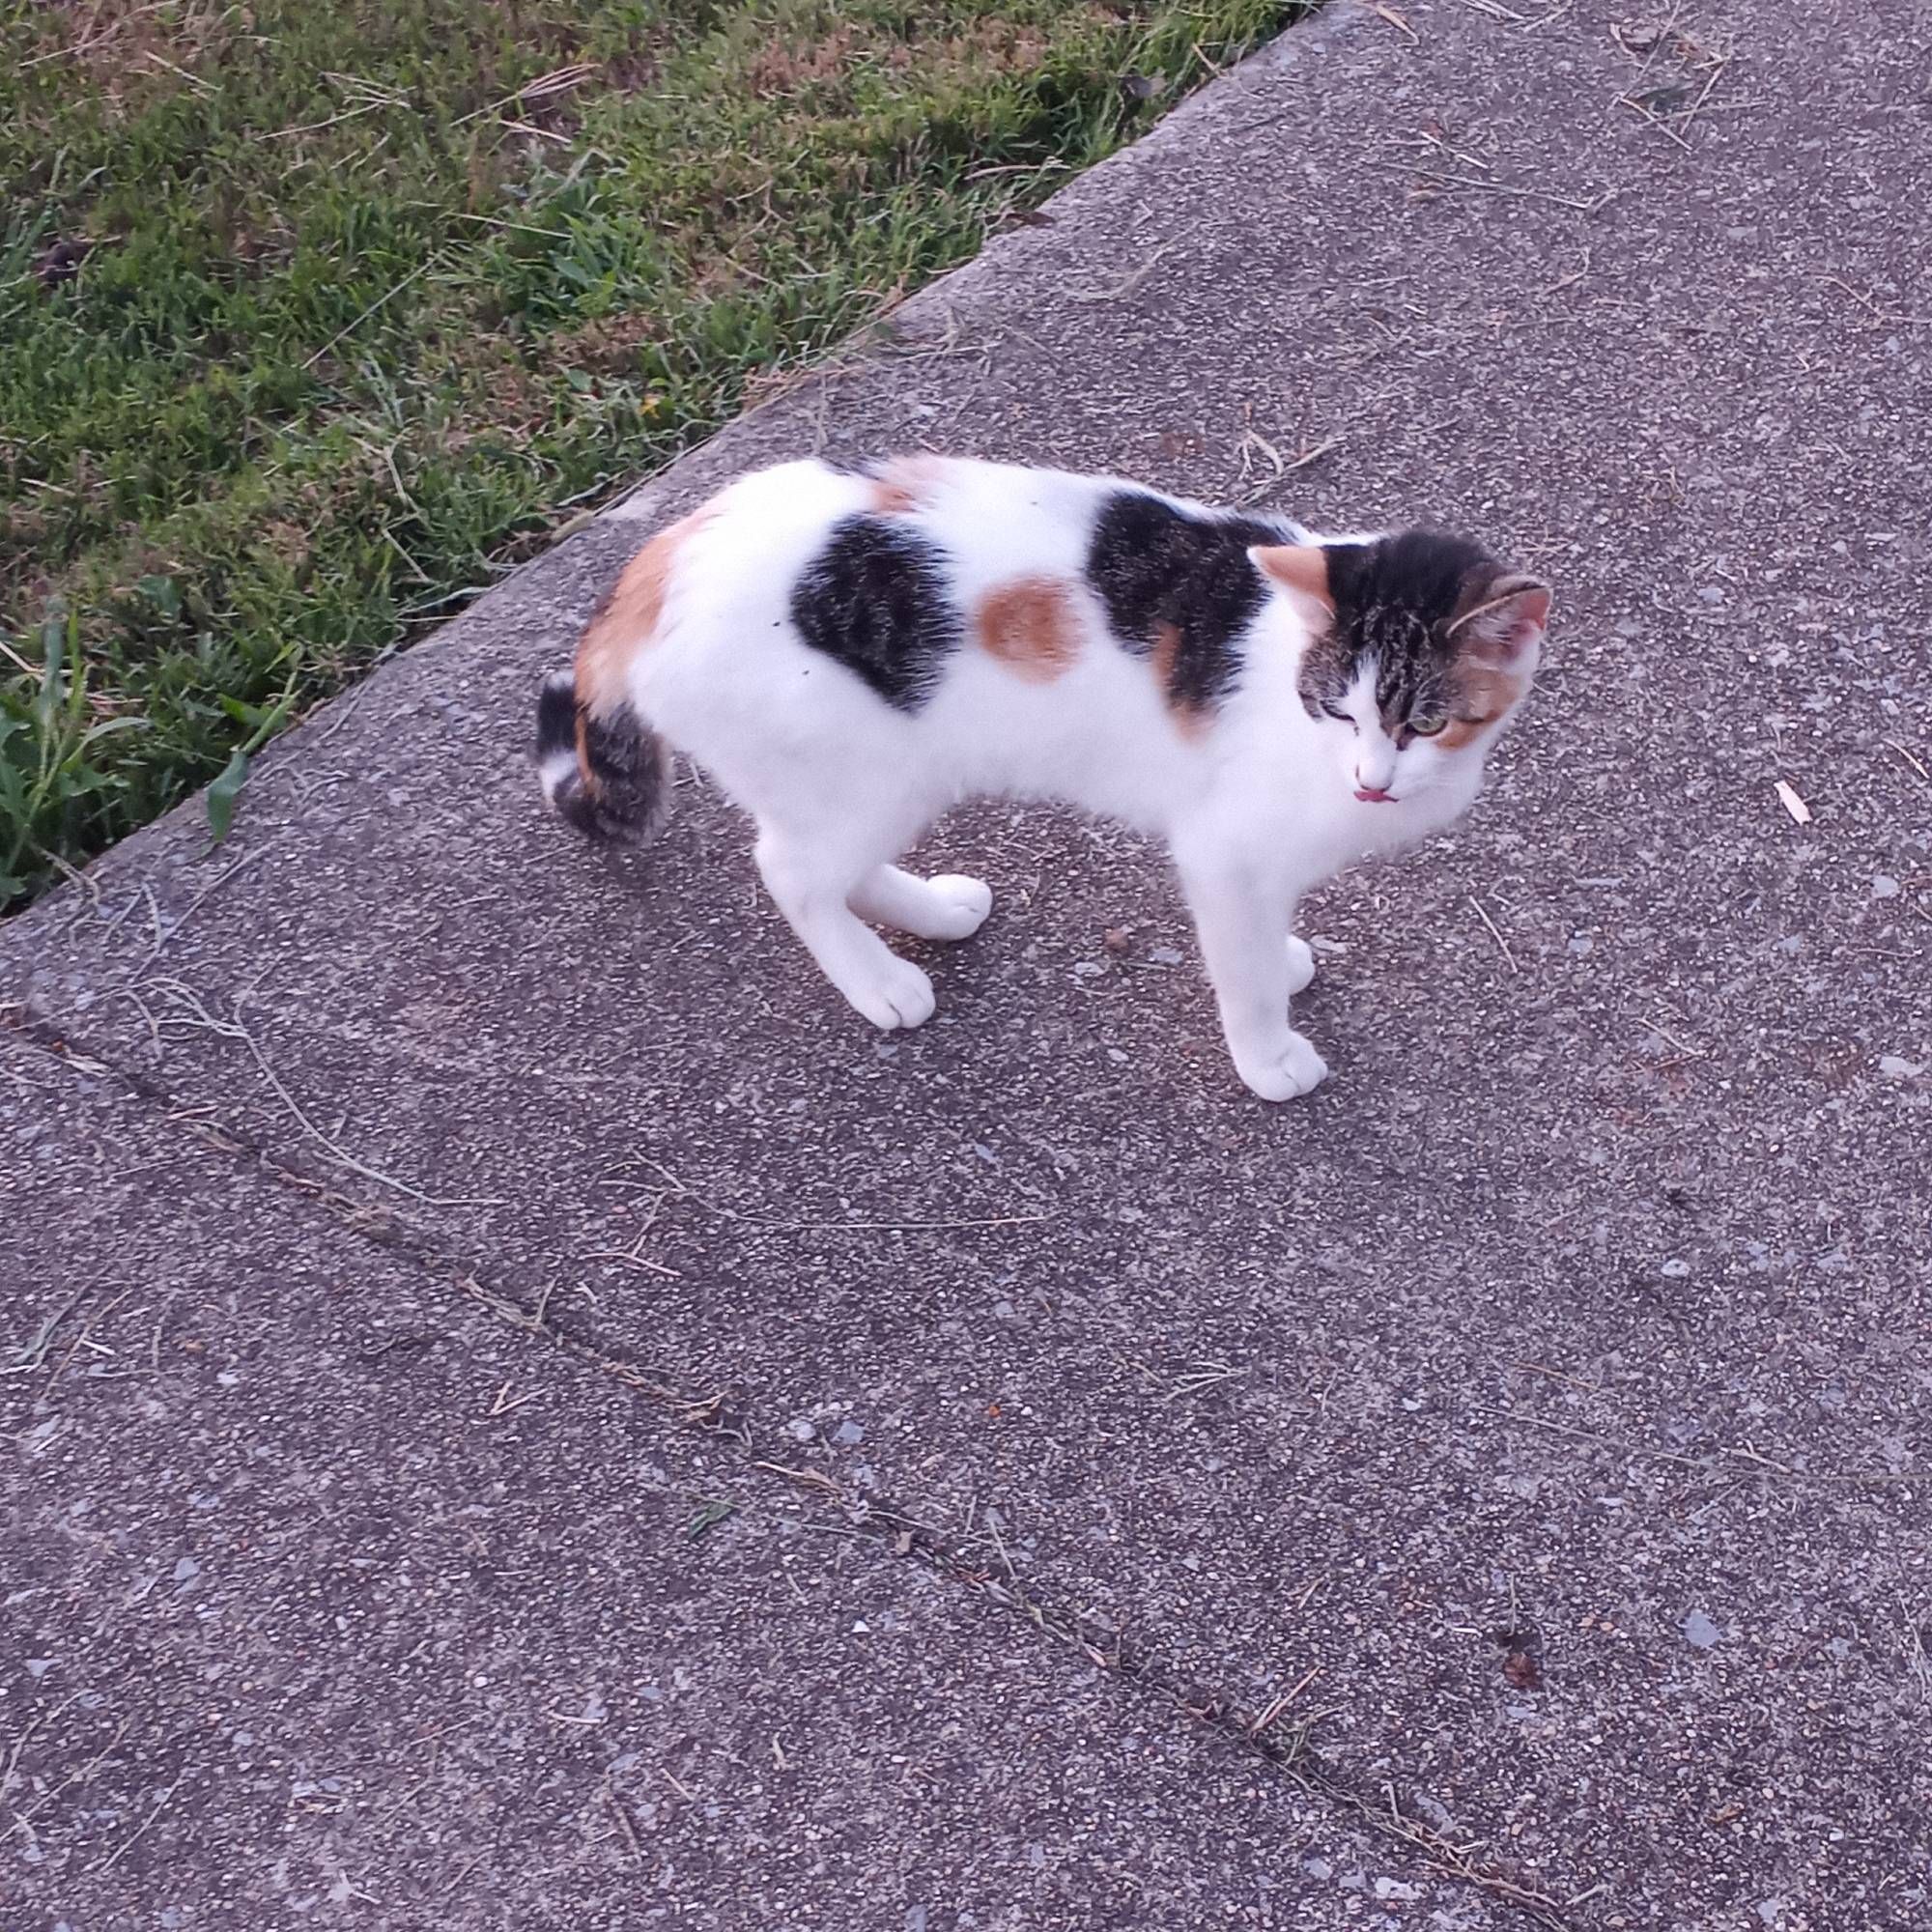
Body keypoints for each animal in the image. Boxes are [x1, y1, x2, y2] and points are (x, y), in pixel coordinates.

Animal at [537, 452, 1546, 1105]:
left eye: (1426, 721)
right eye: (1337, 710)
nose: (1372, 782)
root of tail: (663, 560)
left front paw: (1281, 957)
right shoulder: (1224, 852)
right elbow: (1242, 966)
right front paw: (1267, 1053)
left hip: (883, 777)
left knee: (830, 864)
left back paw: (937, 912)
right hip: (856, 774)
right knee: (790, 872)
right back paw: (879, 983)